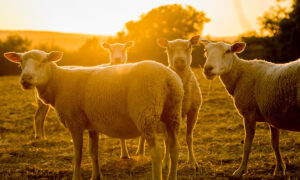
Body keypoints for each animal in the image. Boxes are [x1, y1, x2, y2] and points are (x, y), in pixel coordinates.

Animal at [4, 49, 183, 180]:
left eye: (43, 62)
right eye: (20, 63)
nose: (25, 79)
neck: (58, 81)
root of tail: (168, 78)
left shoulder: (74, 122)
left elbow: (77, 155)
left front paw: (76, 177)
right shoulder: (92, 124)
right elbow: (93, 152)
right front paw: (96, 176)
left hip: (146, 114)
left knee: (157, 152)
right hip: (172, 114)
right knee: (174, 148)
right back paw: (172, 177)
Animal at [200, 39, 300, 177]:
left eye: (228, 51)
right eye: (206, 51)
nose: (208, 68)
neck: (240, 75)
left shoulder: (249, 114)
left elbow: (247, 144)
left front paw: (240, 170)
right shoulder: (272, 113)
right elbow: (275, 143)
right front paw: (279, 168)